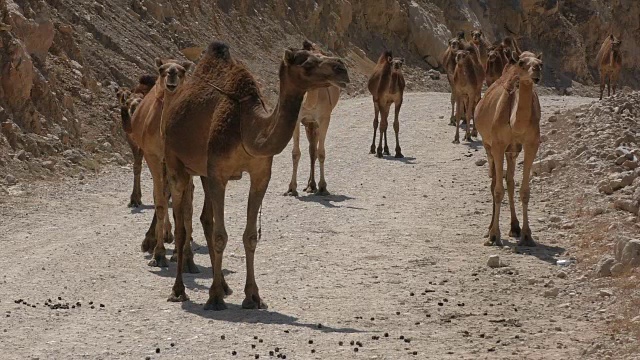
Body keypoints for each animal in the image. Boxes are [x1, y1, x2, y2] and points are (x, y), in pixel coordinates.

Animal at [115, 73, 156, 207]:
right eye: (127, 102)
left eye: (140, 102)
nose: (131, 110)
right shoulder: (131, 141)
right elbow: (136, 166)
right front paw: (135, 199)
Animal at [127, 59, 200, 272]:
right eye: (161, 70)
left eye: (183, 71)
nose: (173, 72)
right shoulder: (153, 157)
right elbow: (160, 202)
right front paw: (158, 254)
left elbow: (186, 208)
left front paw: (187, 257)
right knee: (163, 195)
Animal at [284, 39, 340, 195]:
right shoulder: (297, 119)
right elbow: (295, 153)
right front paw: (292, 187)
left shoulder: (324, 118)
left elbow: (321, 153)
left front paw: (323, 186)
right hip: (309, 123)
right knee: (311, 149)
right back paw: (310, 185)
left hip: (315, 123)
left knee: (314, 150)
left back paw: (313, 185)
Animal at [472, 50, 544, 248]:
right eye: (521, 63)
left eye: (540, 63)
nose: (536, 70)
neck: (515, 124)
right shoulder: (497, 145)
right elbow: (497, 191)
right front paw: (494, 235)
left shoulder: (531, 144)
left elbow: (524, 191)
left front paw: (527, 235)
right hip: (488, 146)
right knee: (494, 182)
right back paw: (489, 229)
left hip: (512, 152)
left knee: (510, 181)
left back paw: (514, 227)